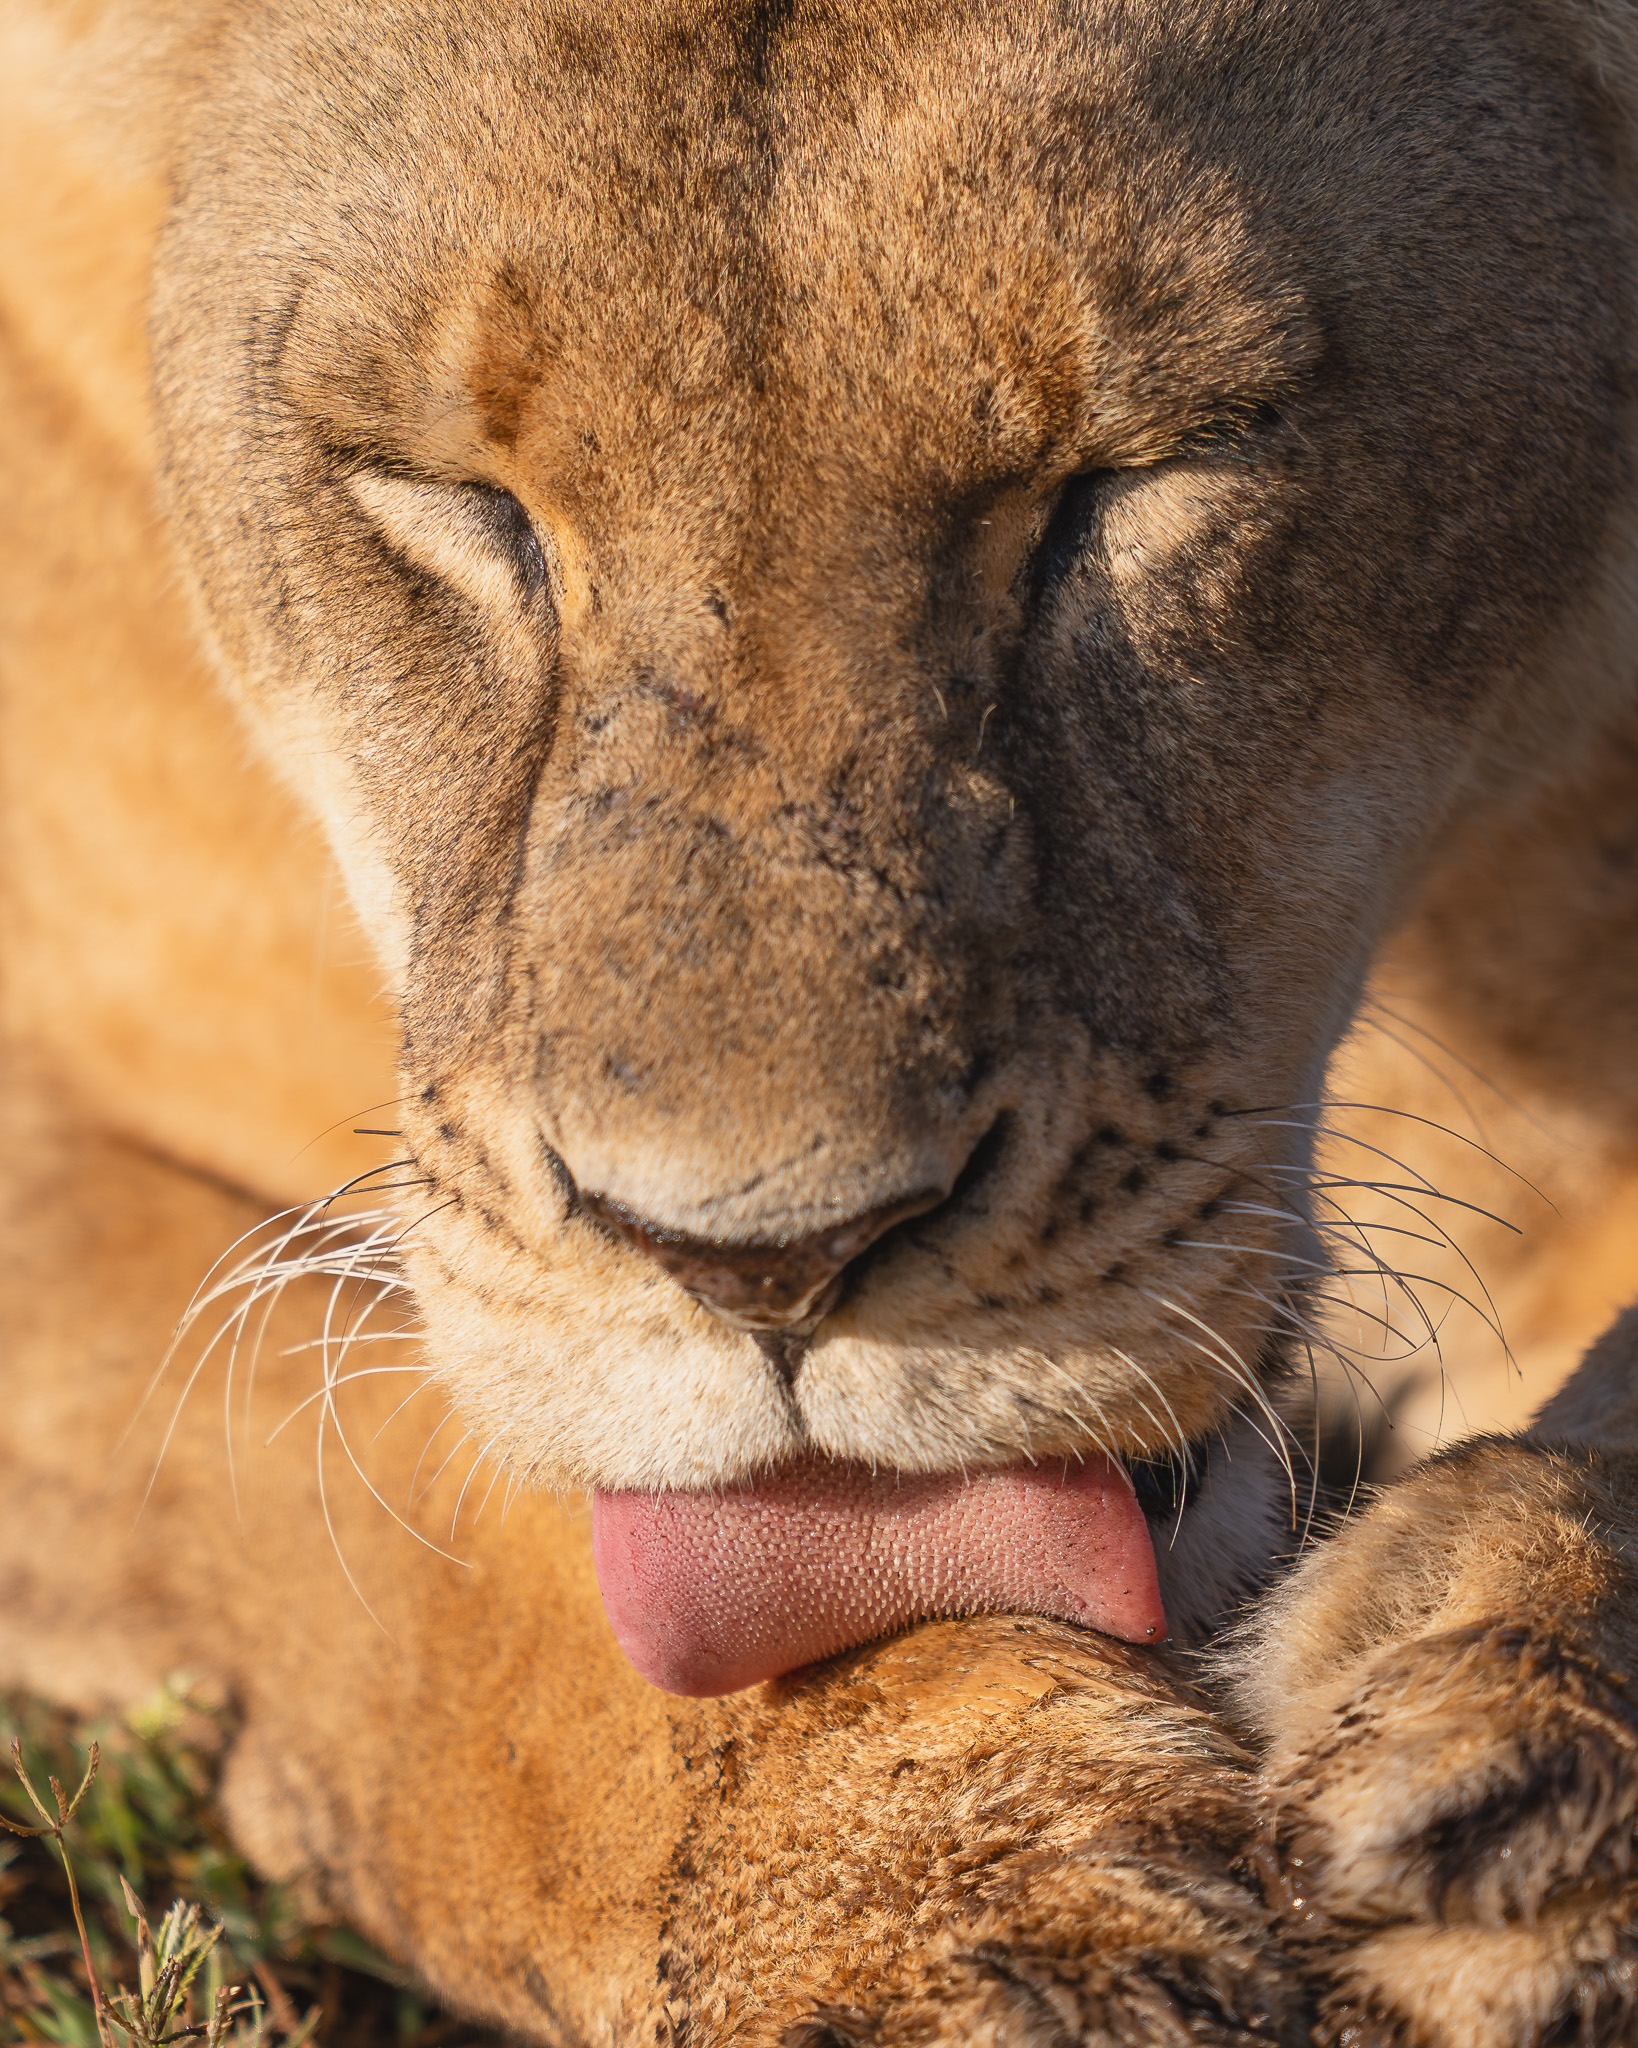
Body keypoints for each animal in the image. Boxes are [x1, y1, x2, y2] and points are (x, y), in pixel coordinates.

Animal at [5, 0, 1638, 2039]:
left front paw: (1531, 1758)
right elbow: (428, 1556)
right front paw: (950, 1894)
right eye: (444, 494)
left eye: (1152, 465)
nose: (767, 1267)